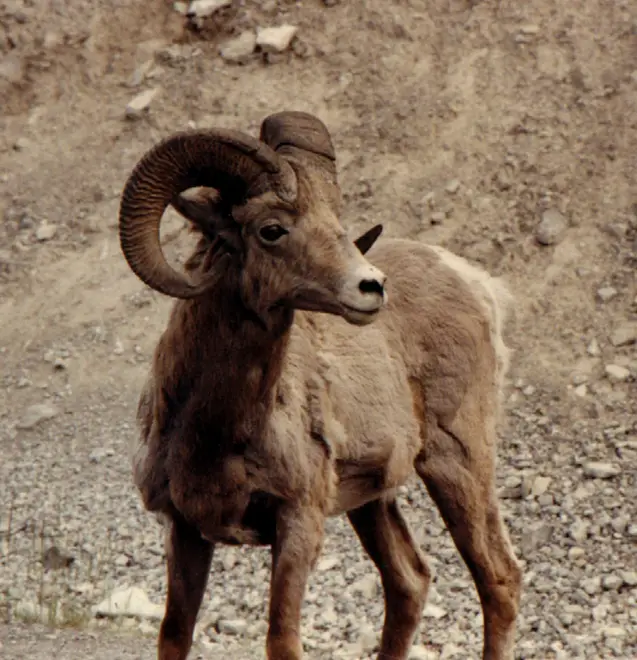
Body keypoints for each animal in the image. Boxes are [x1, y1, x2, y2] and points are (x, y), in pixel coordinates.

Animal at [118, 110, 522, 660]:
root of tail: (479, 285)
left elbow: (282, 641)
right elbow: (174, 637)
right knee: (409, 583)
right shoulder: (185, 531)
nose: (371, 287)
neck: (213, 431)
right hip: (373, 503)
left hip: (456, 463)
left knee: (498, 582)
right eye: (271, 230)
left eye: (337, 221)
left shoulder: (298, 525)